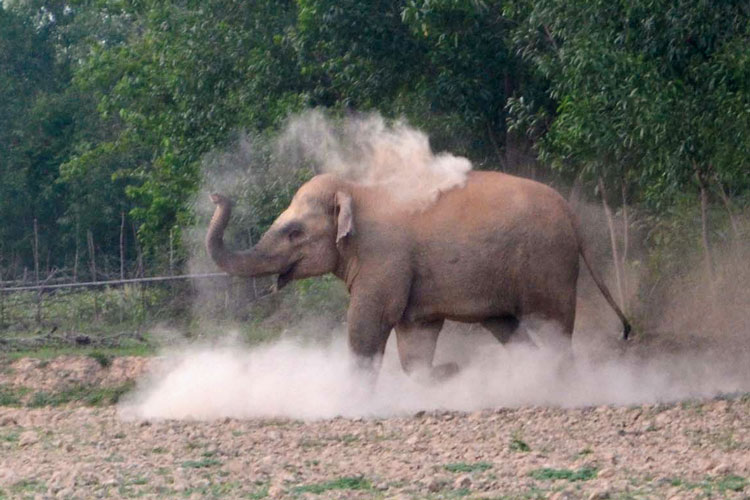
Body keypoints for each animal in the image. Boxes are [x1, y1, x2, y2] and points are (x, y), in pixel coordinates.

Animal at [207, 171, 636, 378]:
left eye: (294, 232)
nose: (216, 195)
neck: (357, 189)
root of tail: (571, 213)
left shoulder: (385, 258)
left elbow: (369, 323)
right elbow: (415, 335)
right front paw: (446, 371)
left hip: (548, 264)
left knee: (553, 326)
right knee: (509, 328)